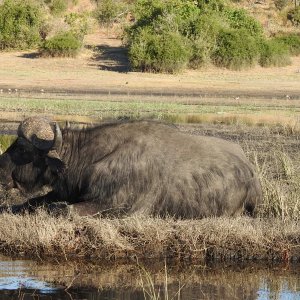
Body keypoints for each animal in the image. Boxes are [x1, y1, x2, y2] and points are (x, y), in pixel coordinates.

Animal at [0, 117, 262, 218]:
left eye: (23, 149)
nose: (1, 171)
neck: (90, 158)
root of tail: (250, 175)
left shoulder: (115, 207)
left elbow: (63, 210)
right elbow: (30, 202)